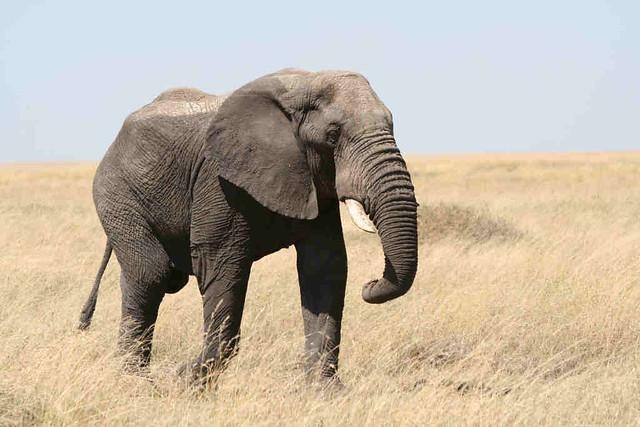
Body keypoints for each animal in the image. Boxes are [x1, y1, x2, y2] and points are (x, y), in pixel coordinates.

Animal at [78, 68, 418, 385]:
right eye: (333, 135)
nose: (370, 284)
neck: (302, 84)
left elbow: (325, 267)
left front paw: (326, 392)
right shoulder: (220, 181)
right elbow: (221, 264)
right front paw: (186, 382)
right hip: (116, 192)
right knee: (151, 272)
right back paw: (133, 379)